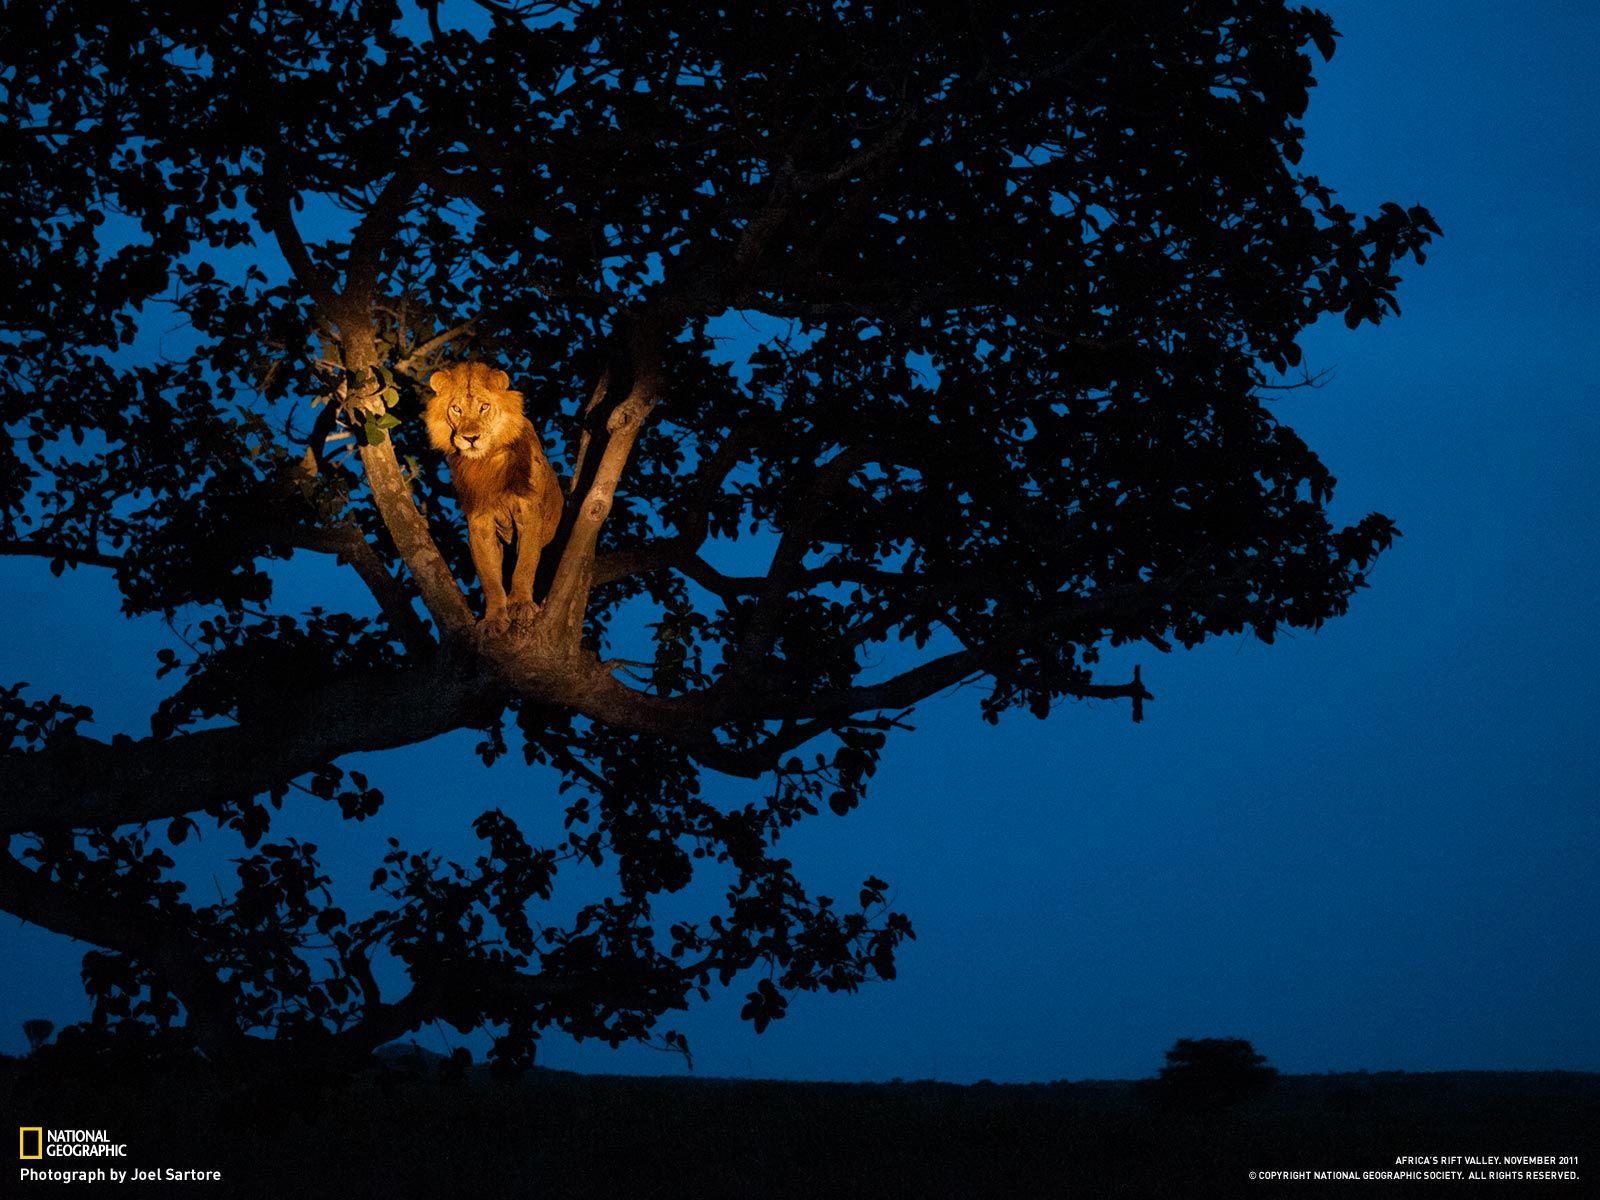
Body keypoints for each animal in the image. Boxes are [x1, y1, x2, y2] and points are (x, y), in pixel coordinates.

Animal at [428, 361, 566, 630]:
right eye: (456, 409)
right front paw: (494, 618)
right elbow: (490, 579)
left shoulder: (529, 511)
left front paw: (521, 604)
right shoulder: (479, 523)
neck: (486, 461)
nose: (471, 438)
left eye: (484, 407)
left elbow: (525, 564)